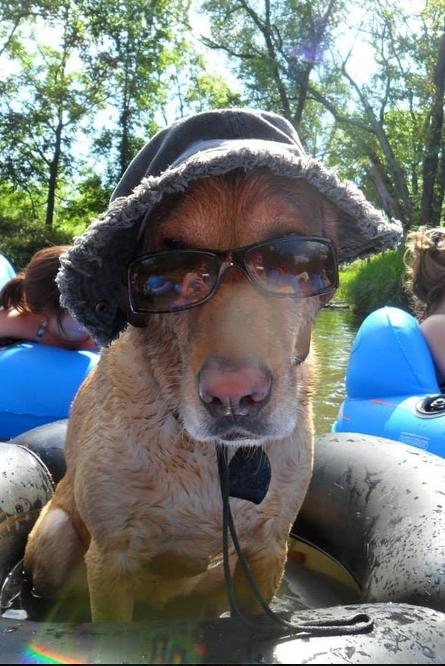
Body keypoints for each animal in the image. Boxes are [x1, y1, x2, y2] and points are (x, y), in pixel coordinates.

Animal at [22, 106, 400, 620]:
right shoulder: (110, 558)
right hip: (57, 538)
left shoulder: (267, 551)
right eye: (165, 274)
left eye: (292, 259)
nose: (233, 396)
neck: (213, 457)